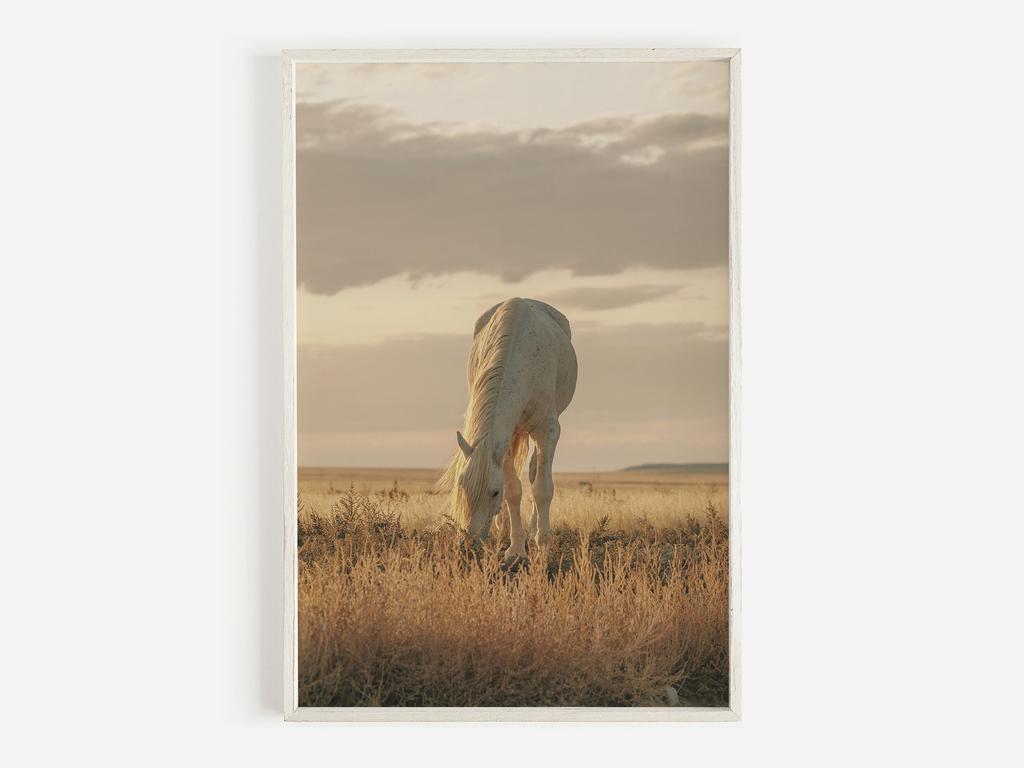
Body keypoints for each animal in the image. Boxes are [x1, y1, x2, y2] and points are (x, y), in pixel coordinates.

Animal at [439, 298, 577, 564]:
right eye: (462, 486)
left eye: (494, 492)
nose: (469, 545)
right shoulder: (507, 435)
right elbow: (513, 490)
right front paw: (515, 550)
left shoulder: (548, 430)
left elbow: (542, 489)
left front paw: (542, 548)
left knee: (535, 473)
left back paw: (534, 529)